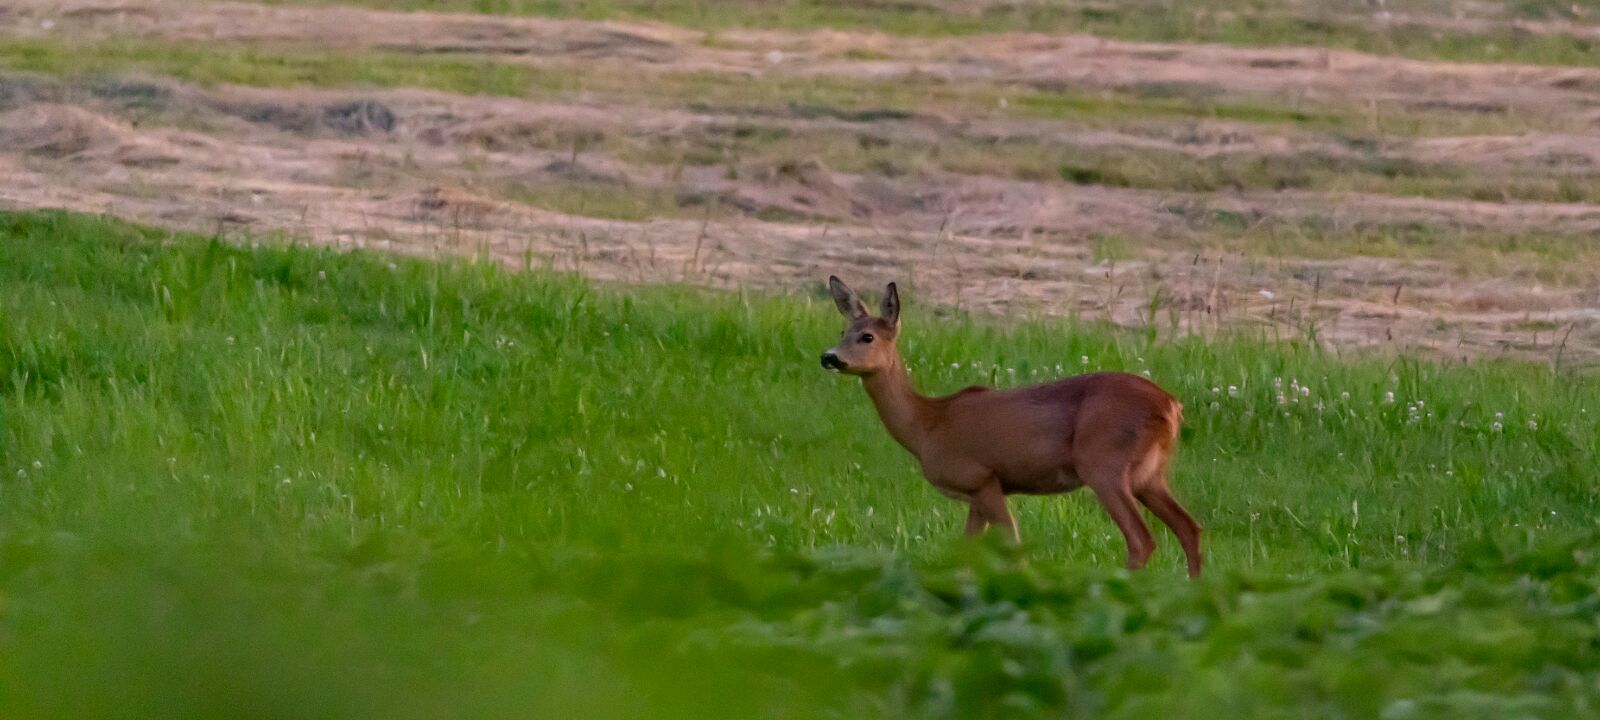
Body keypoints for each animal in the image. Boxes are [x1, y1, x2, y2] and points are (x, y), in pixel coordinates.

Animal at [819, 276, 1202, 577]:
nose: (829, 357)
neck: (928, 425)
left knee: (1142, 539)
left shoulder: (981, 477)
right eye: (842, 331)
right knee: (1189, 527)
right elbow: (967, 552)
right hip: (1149, 474)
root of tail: (1171, 406)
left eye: (867, 337)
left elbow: (1012, 547)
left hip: (1104, 463)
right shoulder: (976, 492)